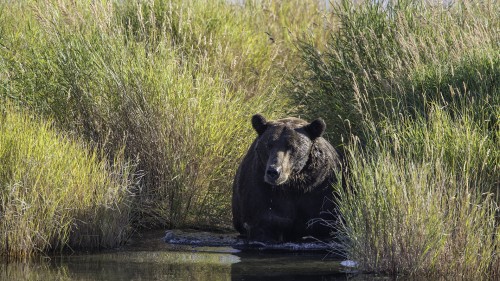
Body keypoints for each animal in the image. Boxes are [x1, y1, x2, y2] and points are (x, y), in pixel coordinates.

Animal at [231, 112, 342, 242]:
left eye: (292, 146)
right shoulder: (262, 188)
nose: (274, 171)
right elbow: (266, 221)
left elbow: (323, 222)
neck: (293, 184)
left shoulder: (320, 188)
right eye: (269, 145)